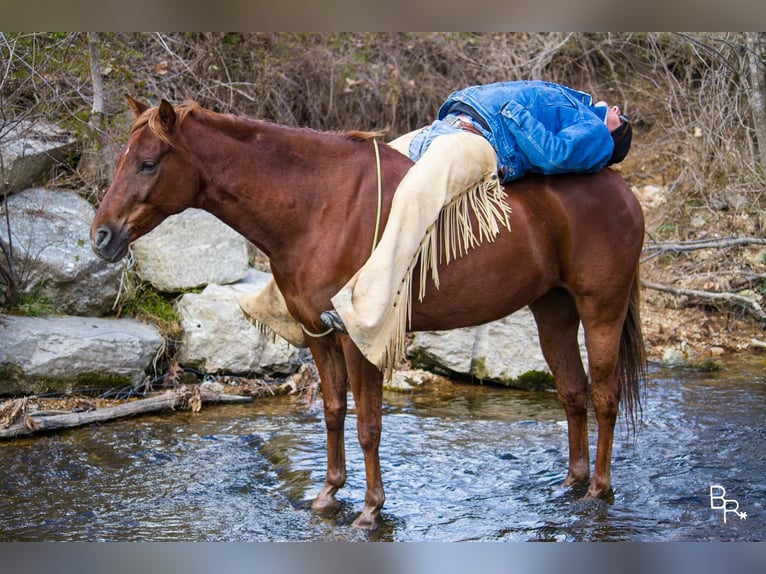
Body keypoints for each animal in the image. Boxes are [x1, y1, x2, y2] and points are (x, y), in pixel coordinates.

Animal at [91, 98, 648, 532]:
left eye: (147, 163)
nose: (101, 236)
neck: (316, 205)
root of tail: (622, 191)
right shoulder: (318, 333)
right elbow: (334, 412)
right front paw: (327, 495)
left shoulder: (357, 339)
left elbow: (369, 426)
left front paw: (370, 511)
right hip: (552, 309)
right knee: (572, 393)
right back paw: (571, 484)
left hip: (601, 308)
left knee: (604, 397)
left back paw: (599, 490)